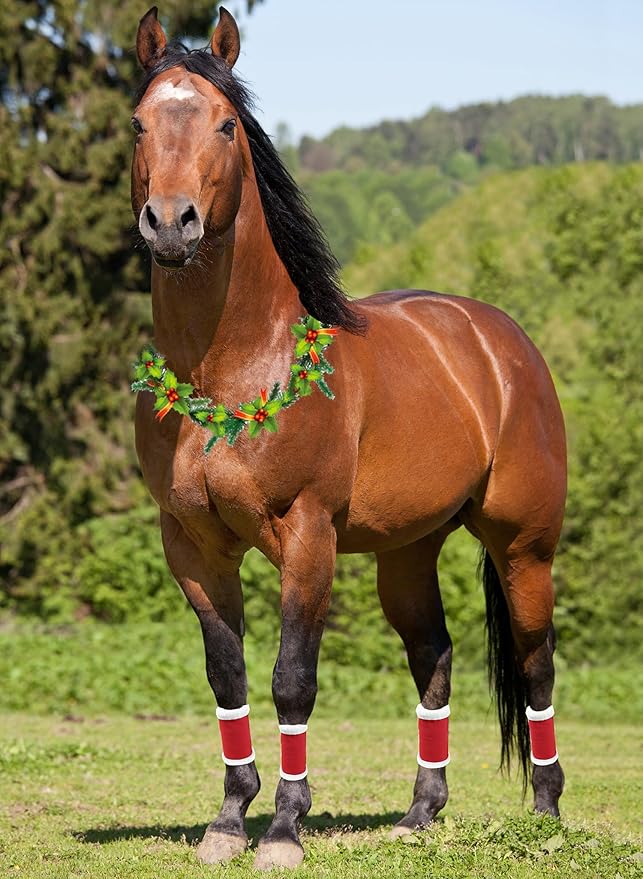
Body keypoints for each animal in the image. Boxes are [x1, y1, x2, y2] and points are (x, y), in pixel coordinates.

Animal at [129, 6, 566, 870]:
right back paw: (421, 812)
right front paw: (228, 821)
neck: (229, 369)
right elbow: (227, 676)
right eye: (136, 124)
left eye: (226, 124)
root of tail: (501, 341)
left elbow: (291, 677)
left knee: (535, 664)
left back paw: (544, 813)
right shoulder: (192, 545)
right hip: (407, 551)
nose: (170, 224)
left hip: (523, 547)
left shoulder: (308, 537)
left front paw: (284, 830)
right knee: (433, 656)